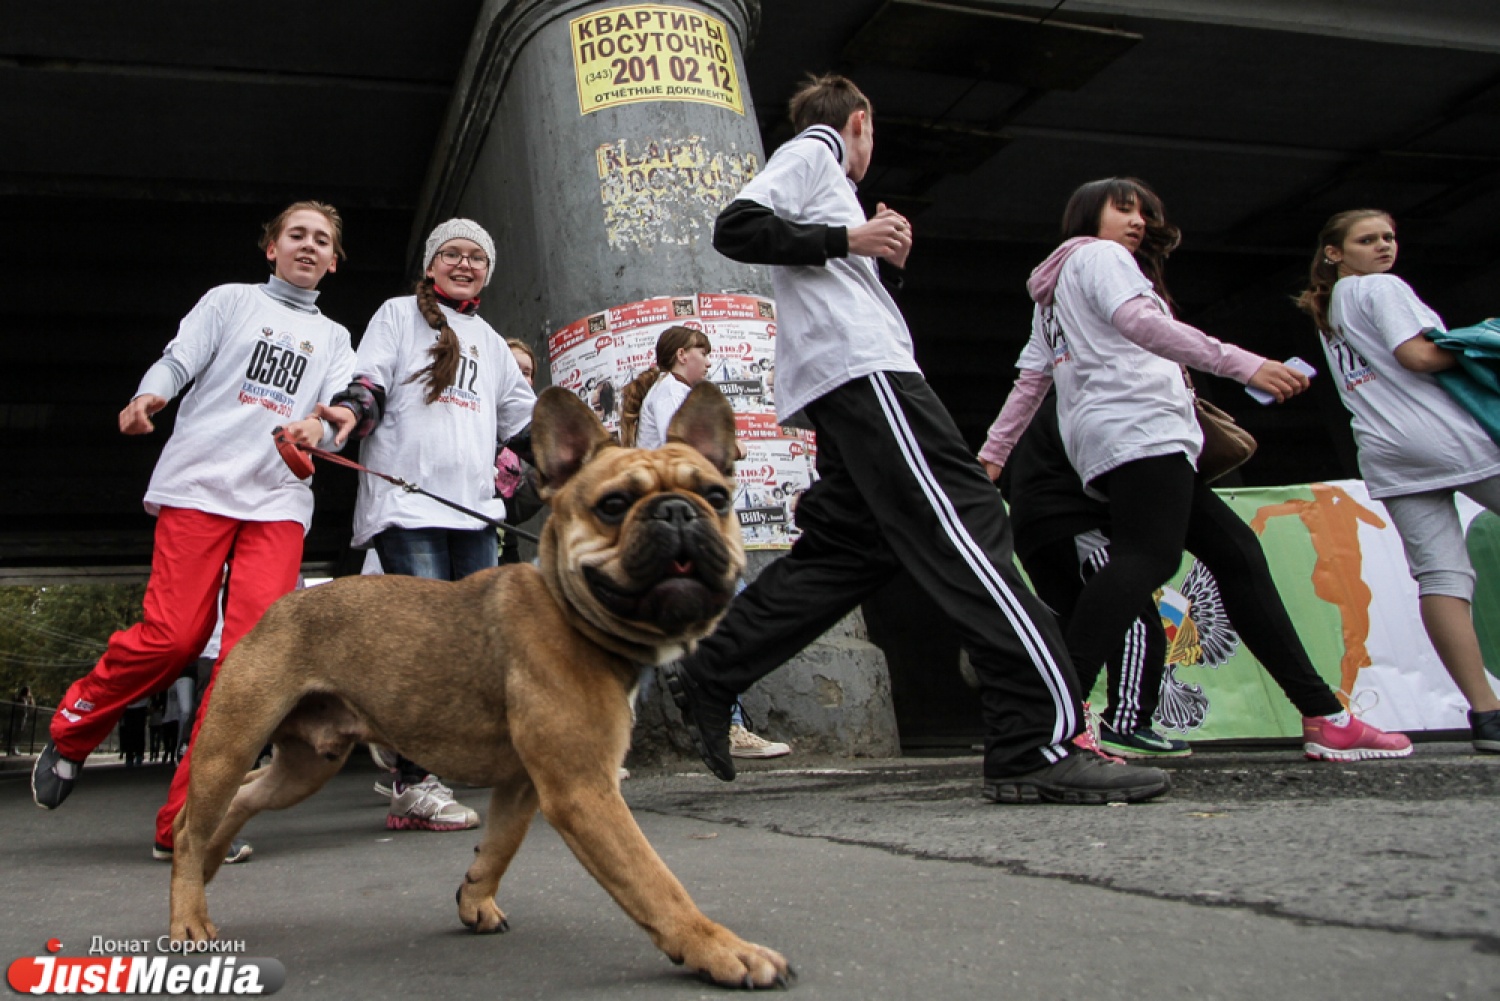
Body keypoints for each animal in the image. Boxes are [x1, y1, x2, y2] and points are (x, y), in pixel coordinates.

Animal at [168, 383, 791, 989]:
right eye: (613, 505)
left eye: (717, 497)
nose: (678, 511)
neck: (569, 610)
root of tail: (277, 608)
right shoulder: (583, 791)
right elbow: (654, 881)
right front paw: (721, 949)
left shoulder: (525, 785)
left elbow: (499, 846)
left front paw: (474, 899)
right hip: (230, 746)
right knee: (189, 826)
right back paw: (188, 914)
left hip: (306, 765)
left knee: (244, 797)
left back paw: (214, 861)